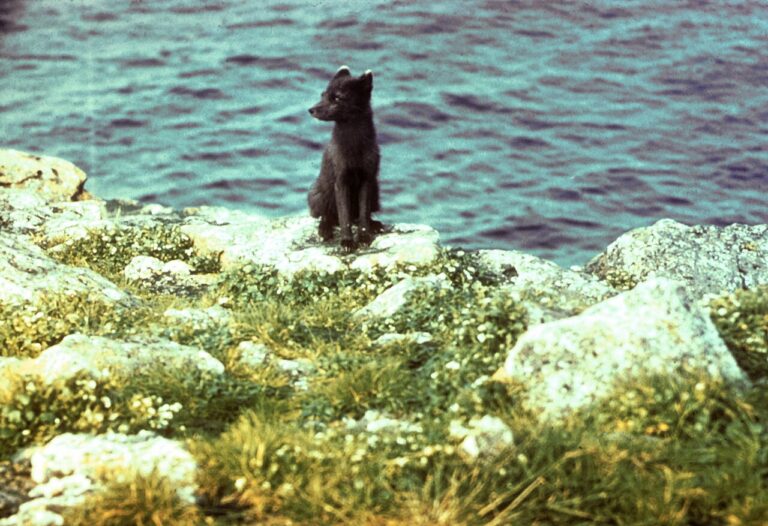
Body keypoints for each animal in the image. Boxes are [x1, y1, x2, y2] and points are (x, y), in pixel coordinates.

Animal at [307, 65, 382, 250]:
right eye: (323, 94)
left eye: (337, 98)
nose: (311, 110)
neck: (354, 147)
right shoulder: (341, 181)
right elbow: (344, 217)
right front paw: (347, 242)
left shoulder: (367, 179)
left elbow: (363, 213)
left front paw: (364, 237)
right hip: (319, 194)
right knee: (328, 216)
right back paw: (324, 229)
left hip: (376, 191)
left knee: (360, 215)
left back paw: (376, 225)